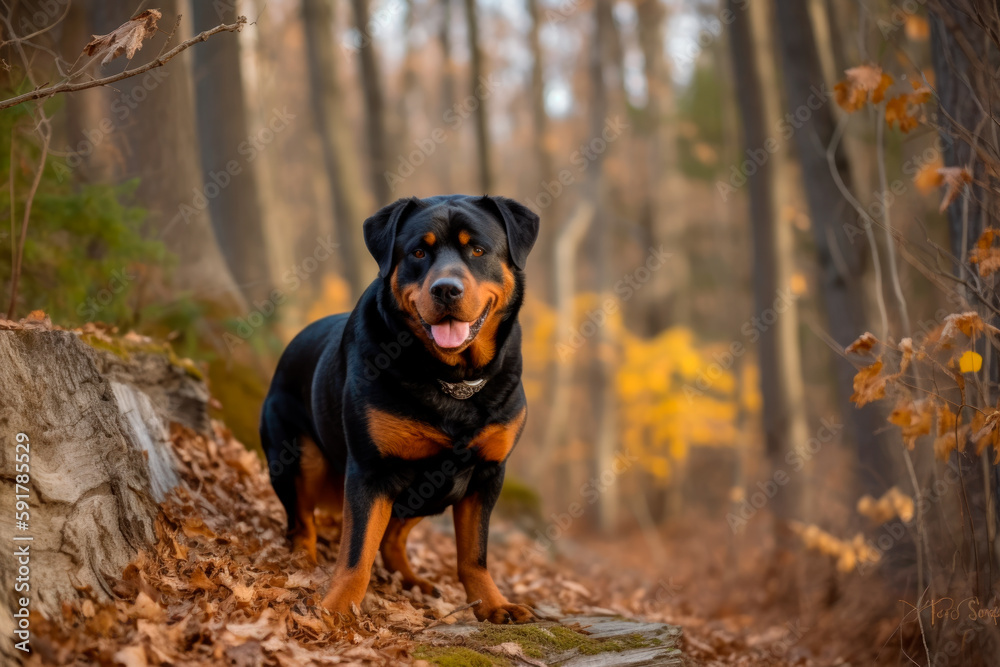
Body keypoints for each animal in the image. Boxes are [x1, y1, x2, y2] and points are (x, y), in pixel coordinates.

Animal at [260, 196, 540, 624]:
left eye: (477, 250)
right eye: (418, 252)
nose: (446, 289)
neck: (451, 378)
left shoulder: (487, 473)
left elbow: (474, 555)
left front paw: (493, 605)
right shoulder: (371, 470)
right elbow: (357, 551)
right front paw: (336, 607)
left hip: (433, 489)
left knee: (392, 539)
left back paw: (412, 582)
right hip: (296, 455)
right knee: (301, 522)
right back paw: (304, 563)